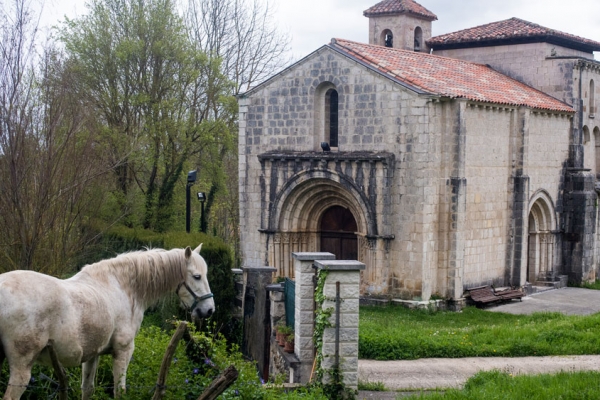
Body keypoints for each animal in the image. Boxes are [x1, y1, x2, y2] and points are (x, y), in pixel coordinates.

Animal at [0, 244, 214, 400]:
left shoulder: (92, 355)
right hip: (21, 369)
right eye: (197, 276)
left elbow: (88, 389)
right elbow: (120, 391)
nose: (209, 310)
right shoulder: (123, 351)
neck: (121, 286)